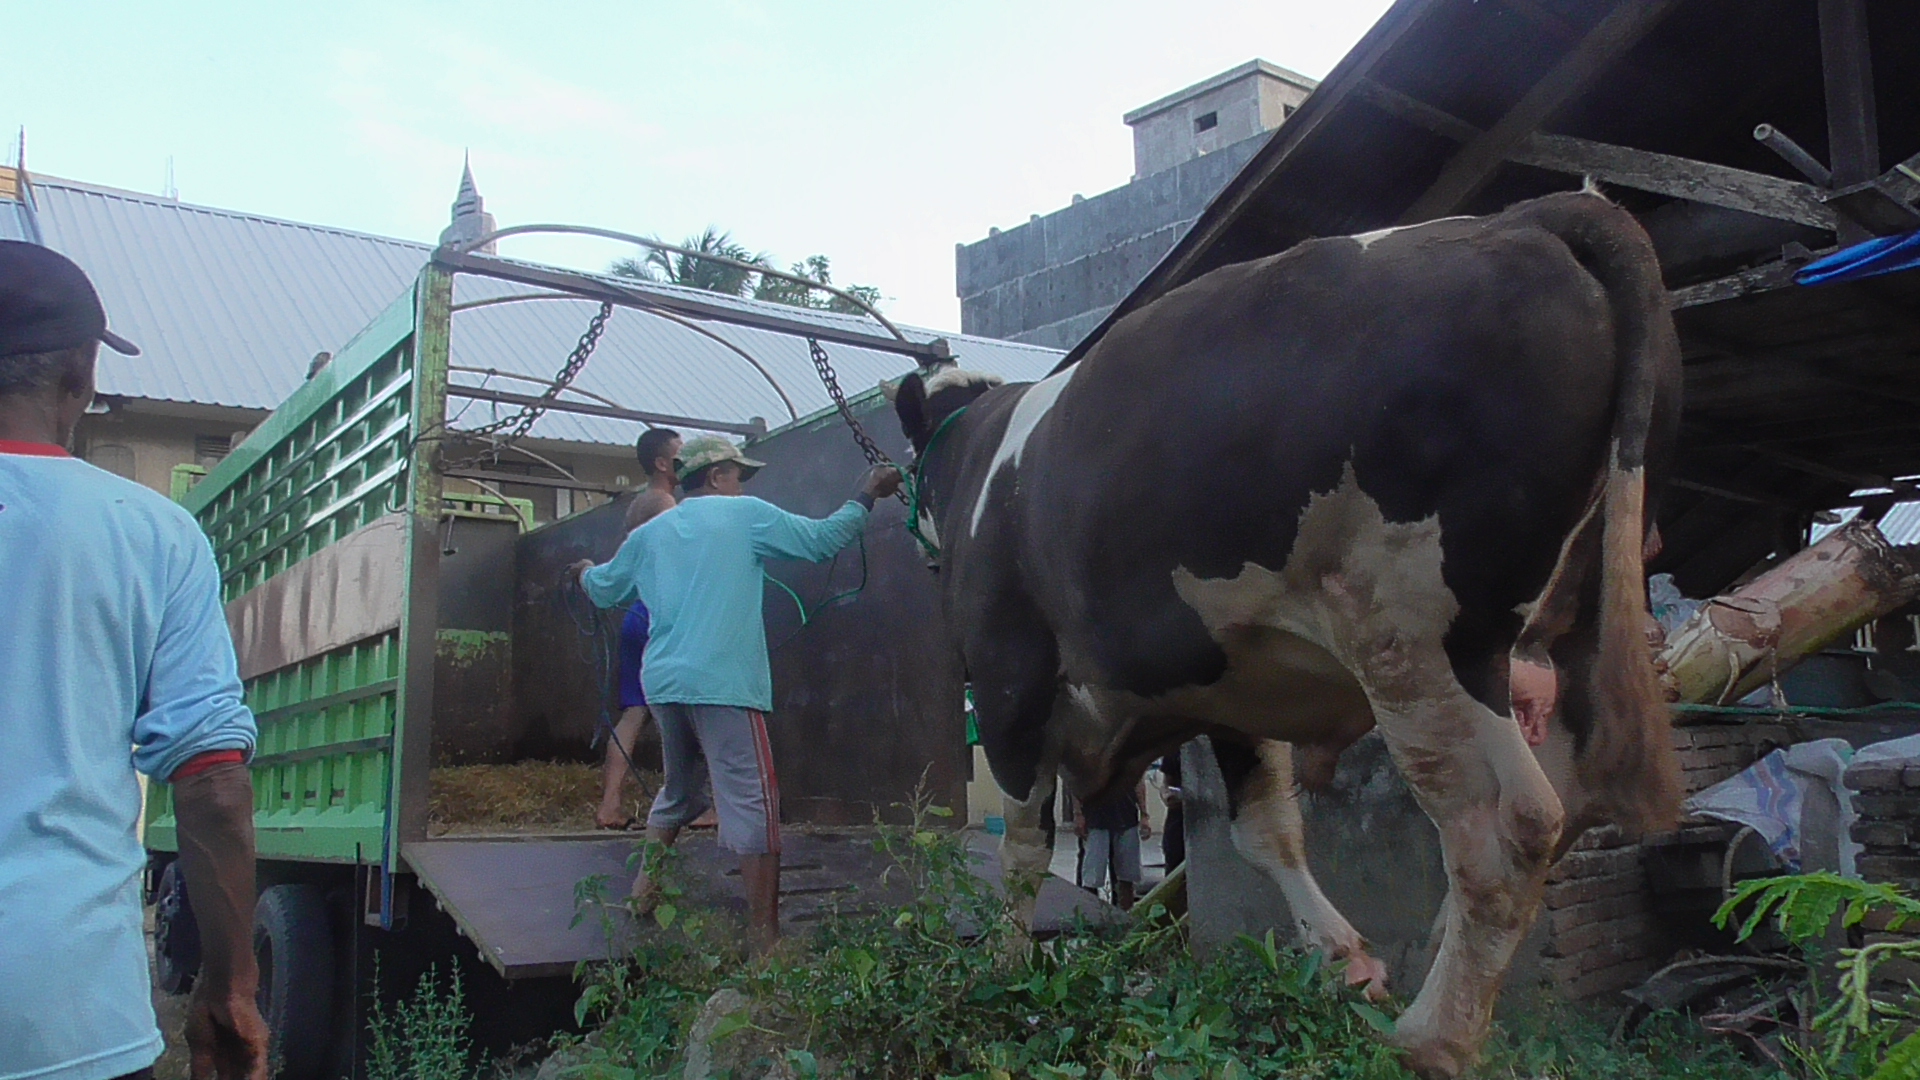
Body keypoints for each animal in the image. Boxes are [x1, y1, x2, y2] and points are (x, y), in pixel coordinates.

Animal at [883, 189, 1681, 1068]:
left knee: (1507, 826)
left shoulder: (1006, 677)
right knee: (1571, 804)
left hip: (1416, 640)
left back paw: (1430, 1040)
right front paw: (1344, 961)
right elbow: (1267, 830)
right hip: (1563, 636)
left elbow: (1024, 846)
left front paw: (1001, 969)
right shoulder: (1231, 688)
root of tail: (1527, 216)